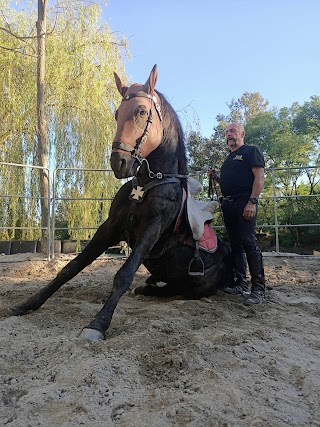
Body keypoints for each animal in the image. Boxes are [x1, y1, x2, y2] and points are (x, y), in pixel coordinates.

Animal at [7, 65, 232, 342]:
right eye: (117, 114)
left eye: (141, 111)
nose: (119, 162)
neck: (145, 186)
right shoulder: (110, 227)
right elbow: (70, 268)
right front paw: (27, 304)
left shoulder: (152, 229)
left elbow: (123, 275)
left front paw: (97, 325)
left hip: (194, 287)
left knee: (174, 291)